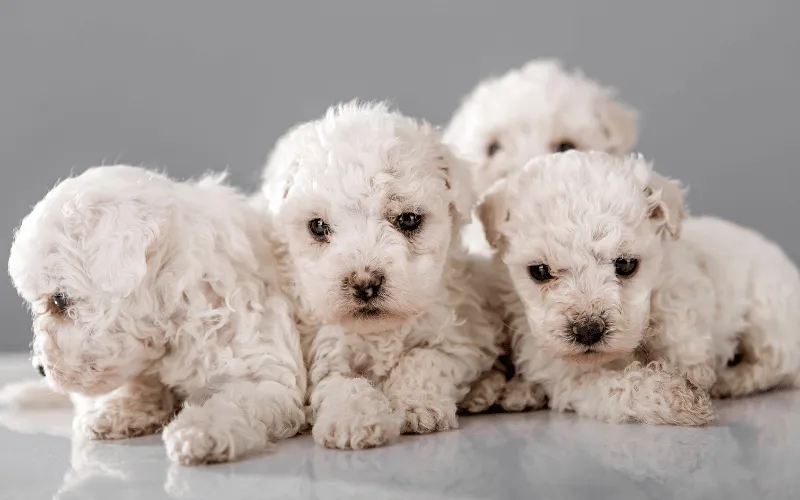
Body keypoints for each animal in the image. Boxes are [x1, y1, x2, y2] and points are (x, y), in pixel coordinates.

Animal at [7, 165, 306, 465]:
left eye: (59, 300)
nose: (39, 368)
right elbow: (140, 386)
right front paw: (116, 411)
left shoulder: (263, 370)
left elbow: (235, 400)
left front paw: (201, 431)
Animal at [260, 101, 501, 449]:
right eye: (317, 226)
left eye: (409, 219)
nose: (364, 284)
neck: (380, 331)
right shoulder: (327, 351)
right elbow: (343, 383)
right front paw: (354, 419)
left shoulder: (457, 341)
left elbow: (423, 361)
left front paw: (417, 406)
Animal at [477, 150, 800, 425]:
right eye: (540, 271)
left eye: (626, 265)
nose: (588, 330)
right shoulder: (567, 375)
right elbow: (619, 387)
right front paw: (677, 396)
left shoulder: (678, 275)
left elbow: (678, 320)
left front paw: (694, 371)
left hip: (769, 312)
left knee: (776, 364)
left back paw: (732, 380)